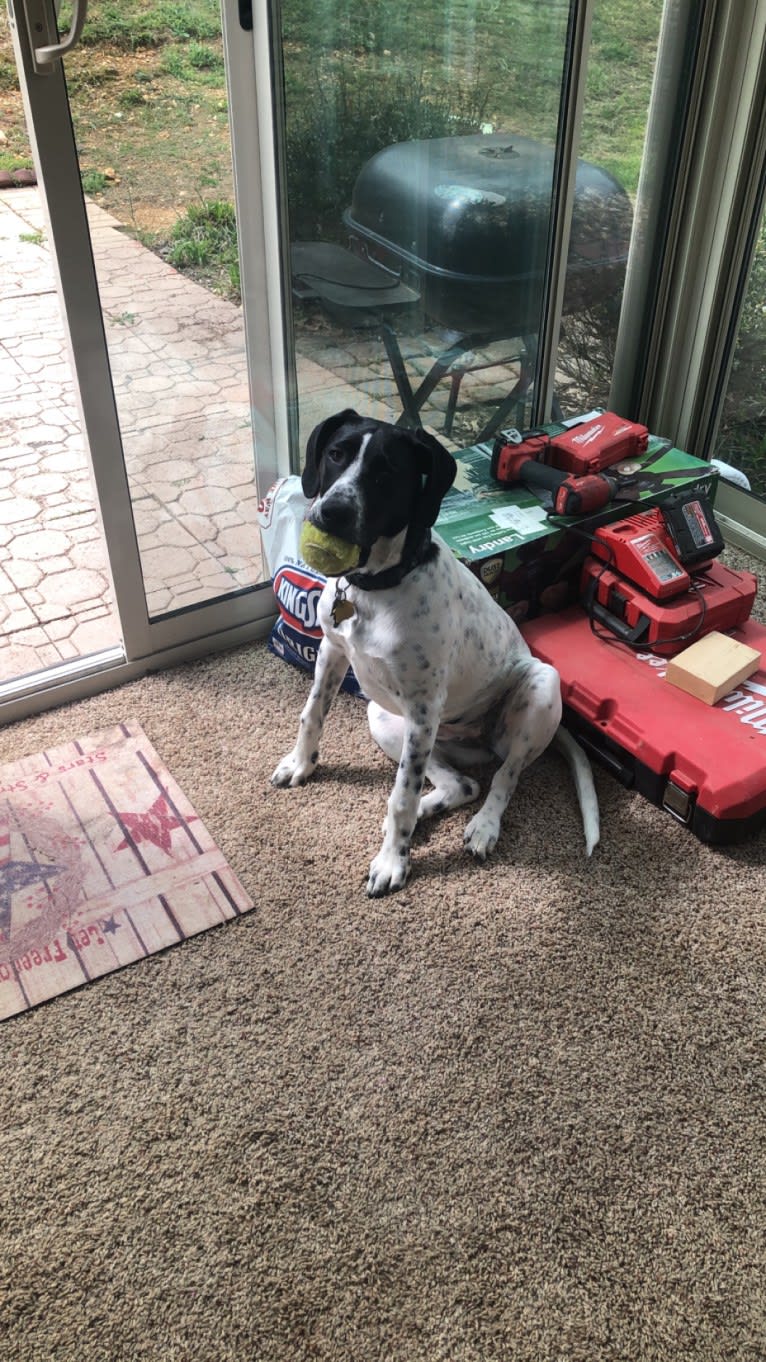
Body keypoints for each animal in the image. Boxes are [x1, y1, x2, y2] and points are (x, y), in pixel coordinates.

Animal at [271, 408, 599, 898]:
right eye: (335, 454)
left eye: (386, 472)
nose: (331, 512)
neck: (375, 588)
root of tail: (478, 742)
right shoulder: (333, 651)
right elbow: (312, 714)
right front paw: (300, 764)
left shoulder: (424, 706)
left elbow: (401, 797)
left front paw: (393, 861)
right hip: (390, 722)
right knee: (462, 784)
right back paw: (430, 811)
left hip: (538, 688)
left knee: (504, 776)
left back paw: (483, 827)